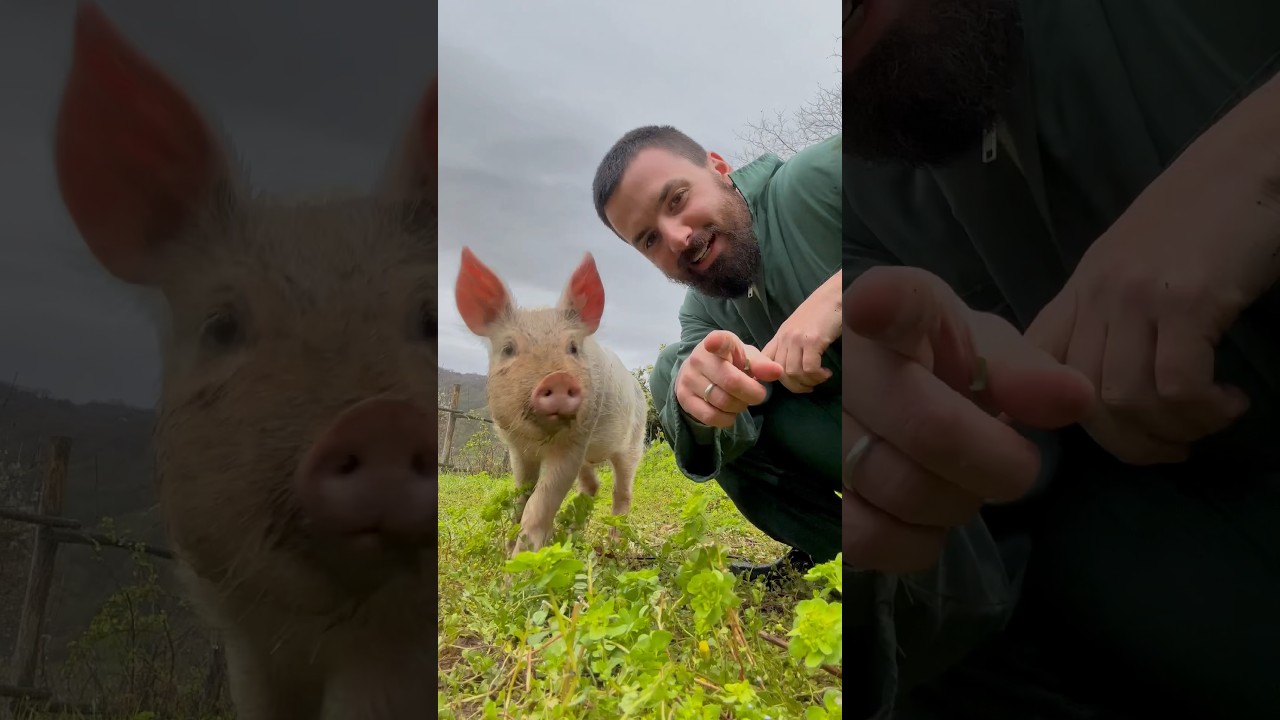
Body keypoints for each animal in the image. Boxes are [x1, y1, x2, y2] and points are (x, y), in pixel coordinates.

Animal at [454, 247, 648, 558]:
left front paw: (519, 564)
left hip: (633, 442)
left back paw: (614, 546)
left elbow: (540, 502)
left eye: (573, 347)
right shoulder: (517, 448)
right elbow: (521, 496)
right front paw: (507, 549)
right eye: (508, 348)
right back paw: (571, 538)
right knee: (592, 485)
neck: (540, 440)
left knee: (622, 491)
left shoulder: (574, 444)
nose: (557, 378)